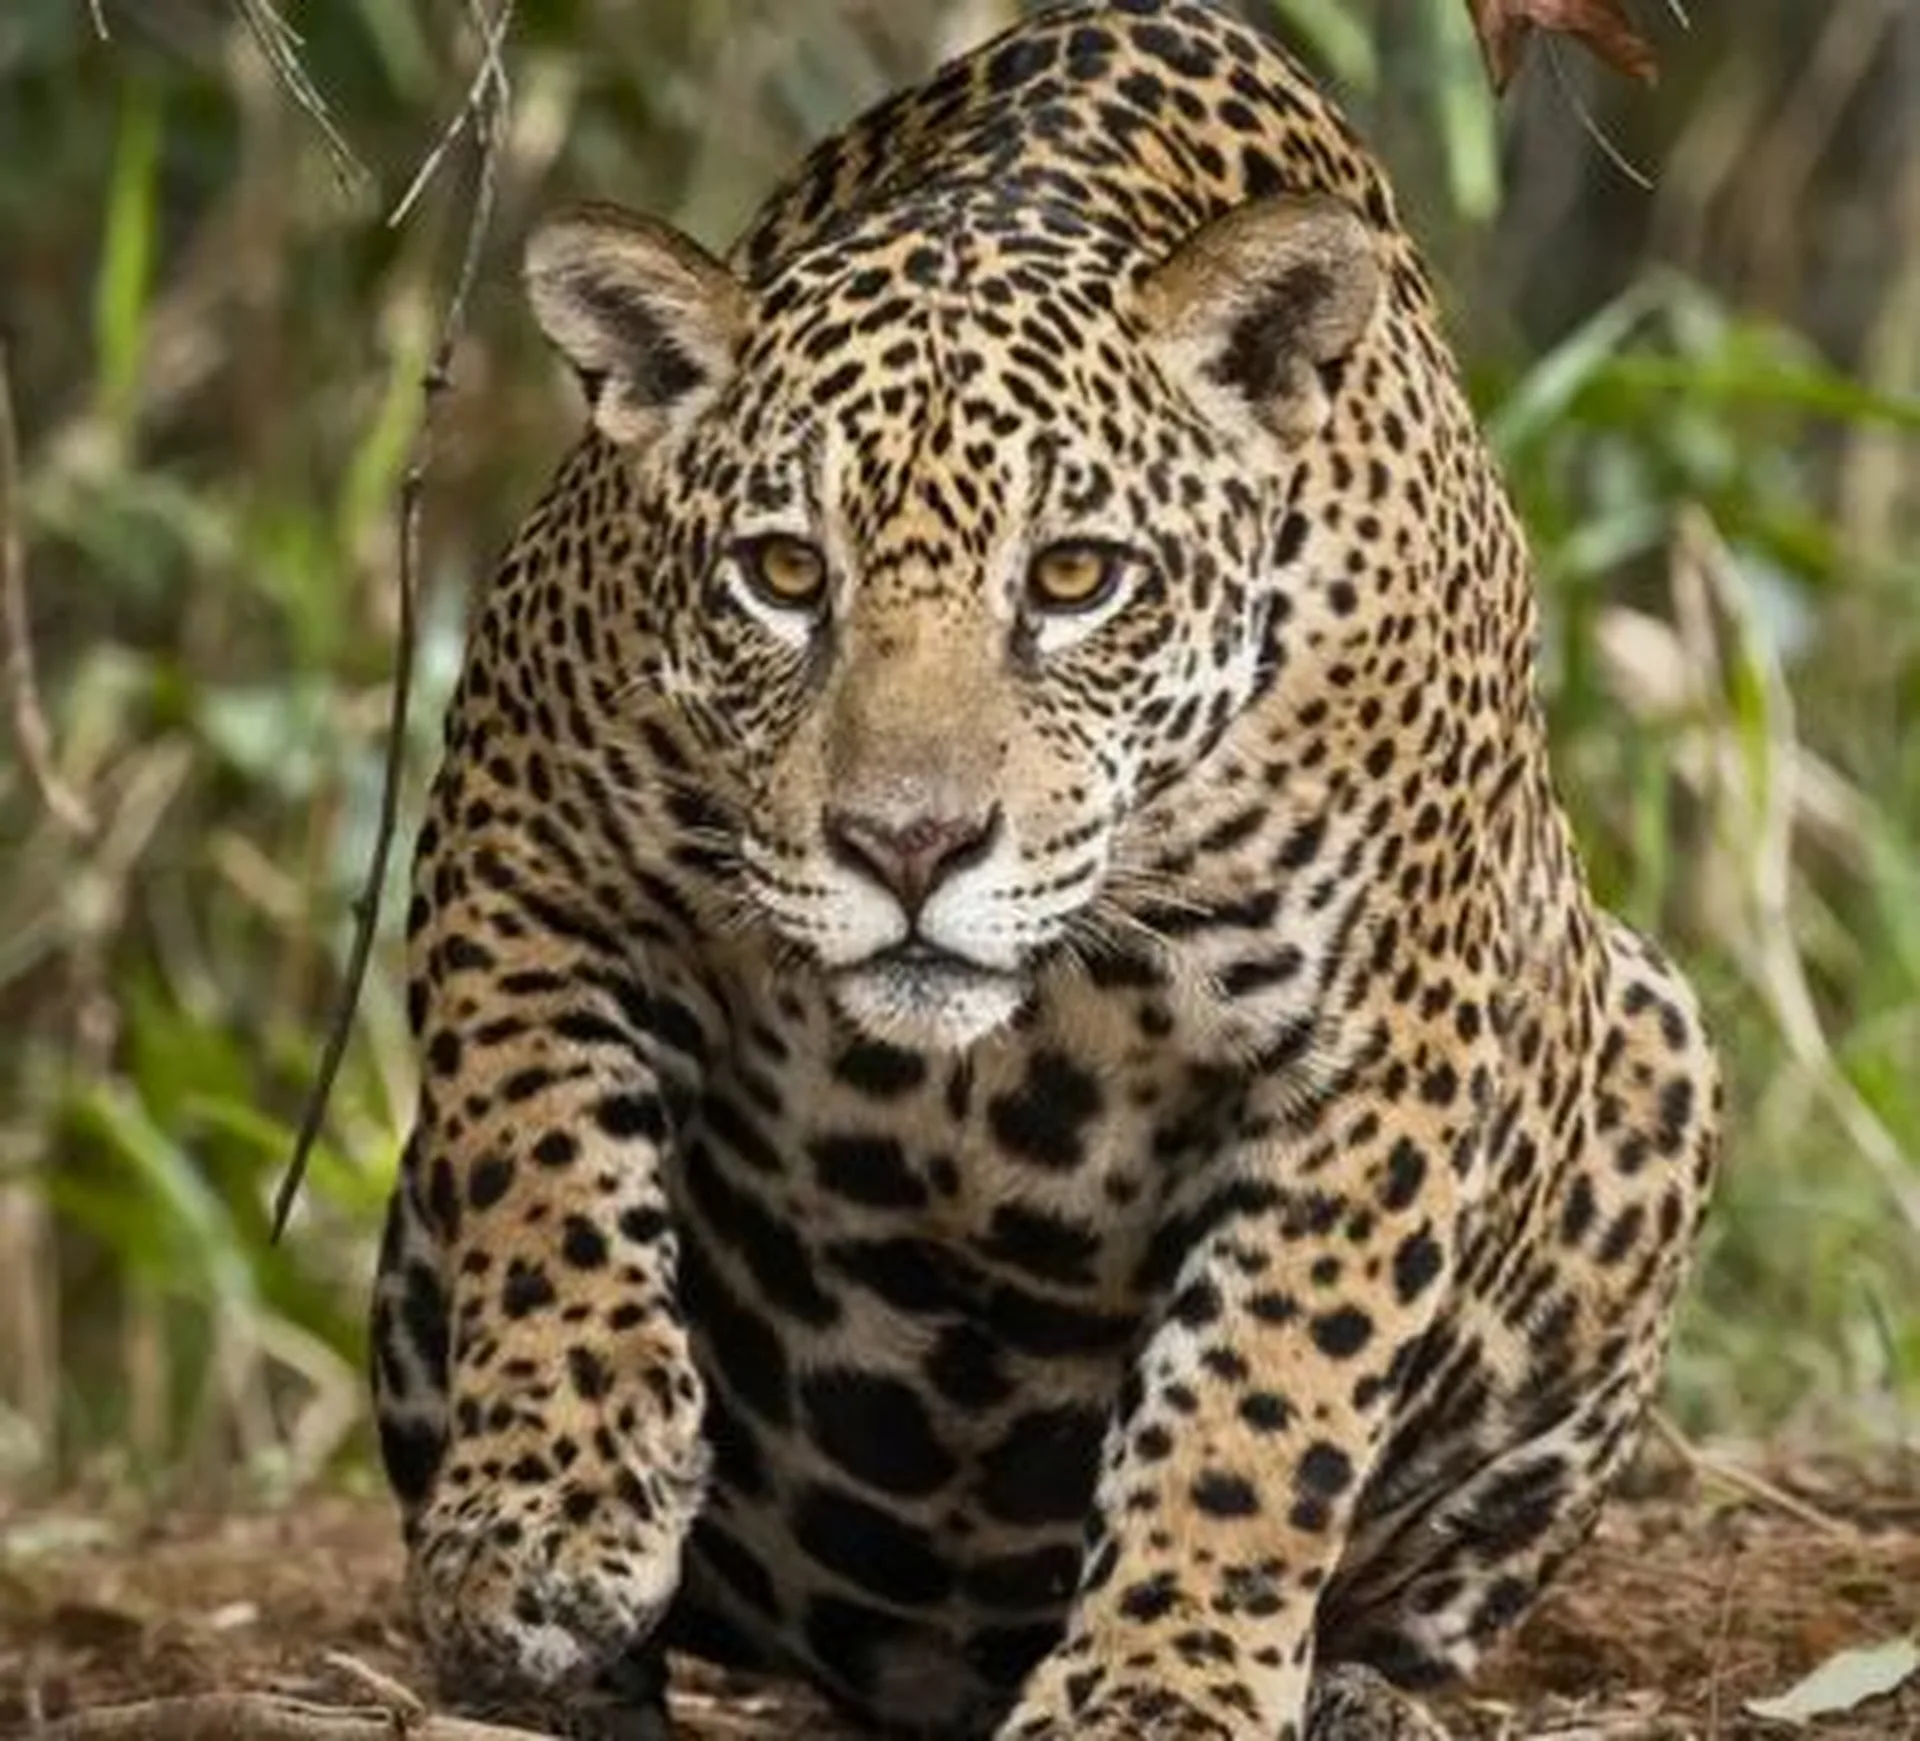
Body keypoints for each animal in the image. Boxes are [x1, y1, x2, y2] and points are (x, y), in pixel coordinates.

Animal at [368, 3, 1722, 1737]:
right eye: (784, 572)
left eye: (1076, 578)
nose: (908, 845)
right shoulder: (519, 832)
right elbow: (543, 1171)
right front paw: (547, 1517)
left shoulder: (1384, 1039)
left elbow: (1267, 1385)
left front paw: (1160, 1677)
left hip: (1654, 1051)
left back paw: (1358, 1689)